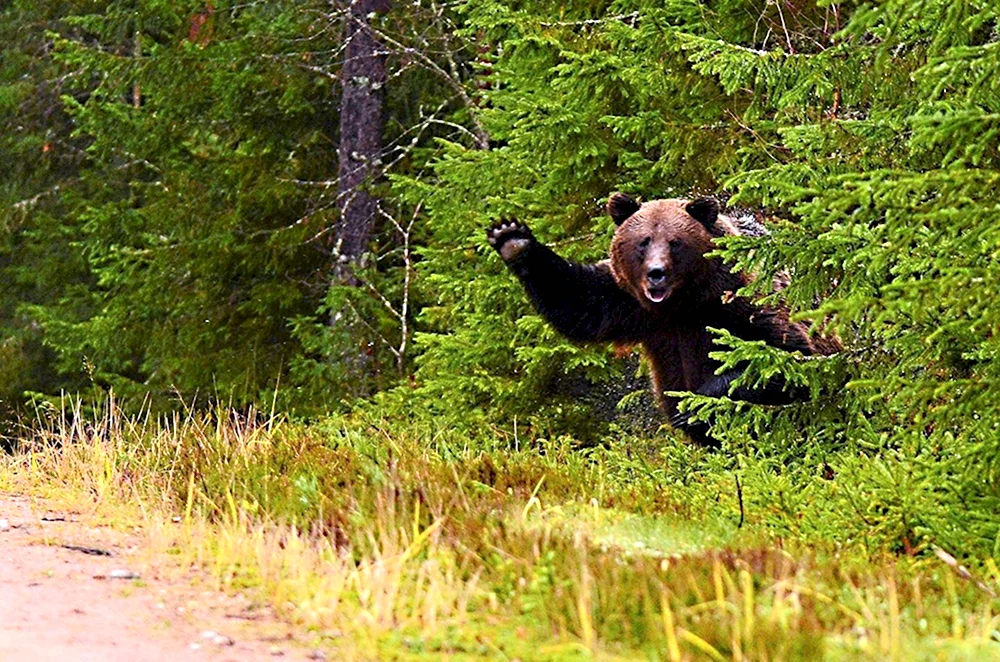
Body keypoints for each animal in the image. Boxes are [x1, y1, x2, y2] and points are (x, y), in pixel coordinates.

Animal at [484, 193, 836, 446]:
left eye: (675, 242)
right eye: (644, 241)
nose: (656, 274)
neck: (683, 303)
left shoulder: (739, 300)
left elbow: (785, 356)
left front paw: (695, 403)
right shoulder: (627, 301)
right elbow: (578, 301)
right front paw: (513, 239)